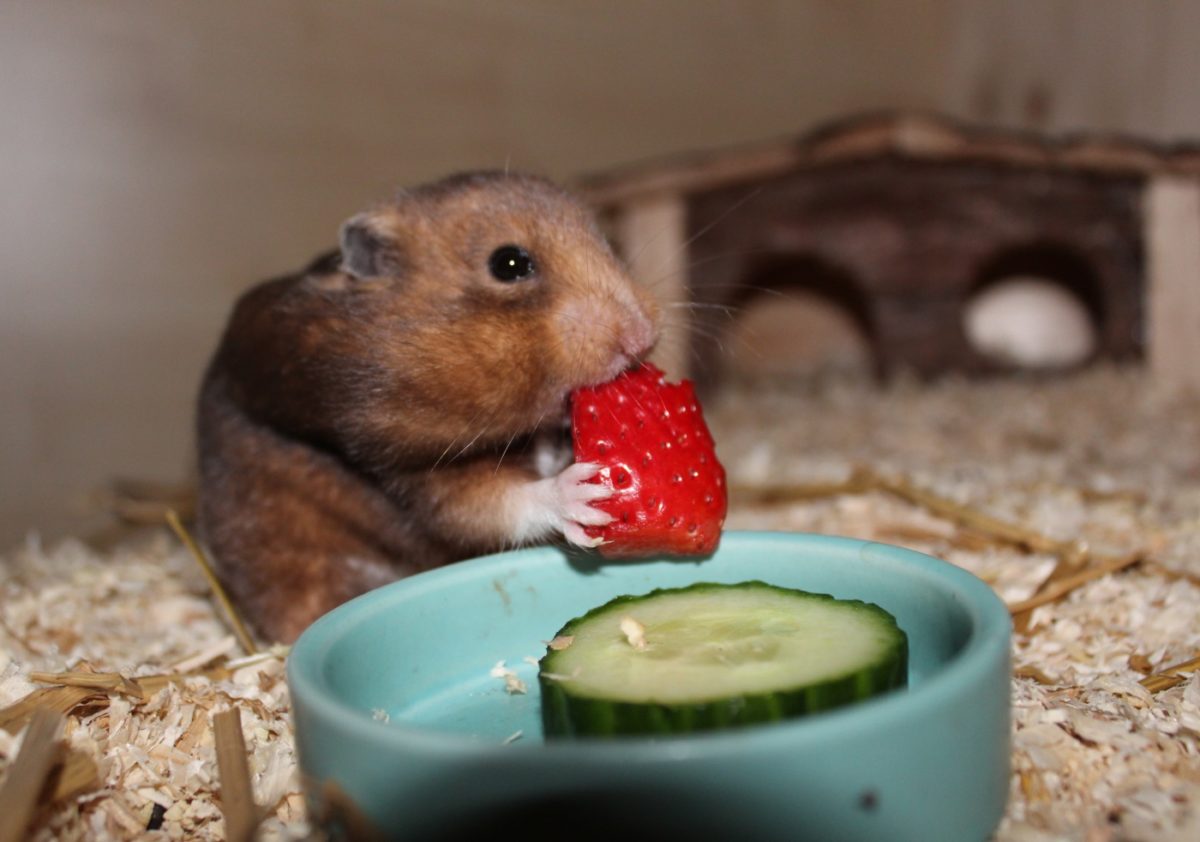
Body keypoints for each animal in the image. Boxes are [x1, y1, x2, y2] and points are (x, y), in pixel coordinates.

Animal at [196, 172, 659, 643]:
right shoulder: (409, 465)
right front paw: (587, 492)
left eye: (607, 242)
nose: (642, 337)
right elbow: (491, 507)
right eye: (510, 264)